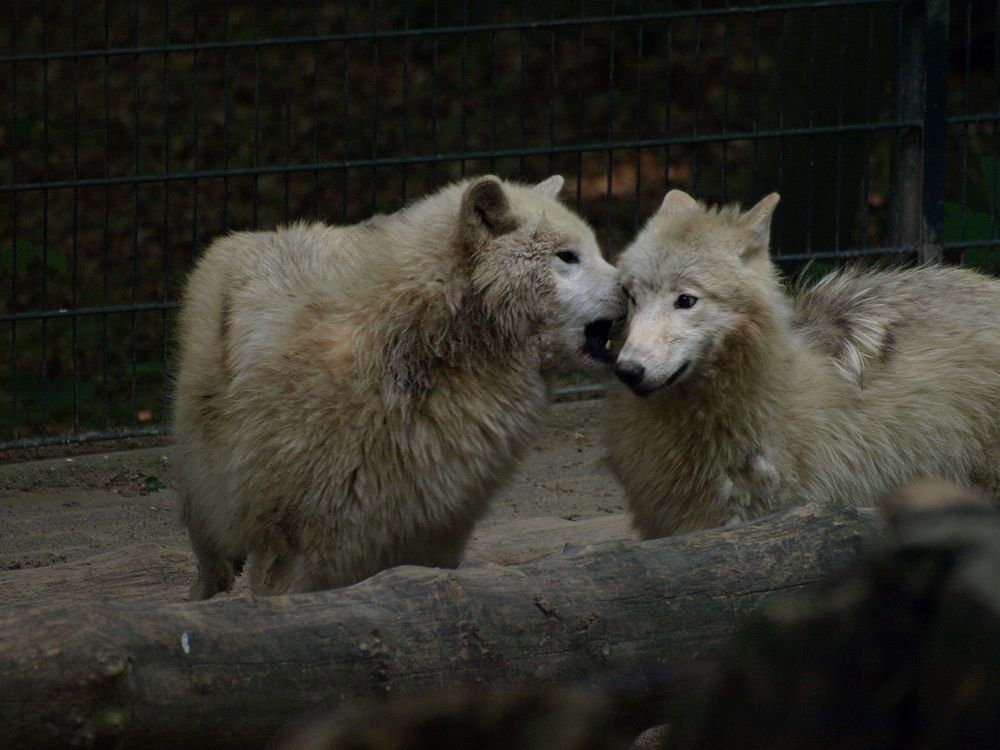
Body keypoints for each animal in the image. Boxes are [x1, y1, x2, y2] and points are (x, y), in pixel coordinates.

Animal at [175, 176, 620, 600]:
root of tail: (245, 236)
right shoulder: (296, 545)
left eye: (597, 251)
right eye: (567, 256)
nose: (632, 286)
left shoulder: (432, 531)